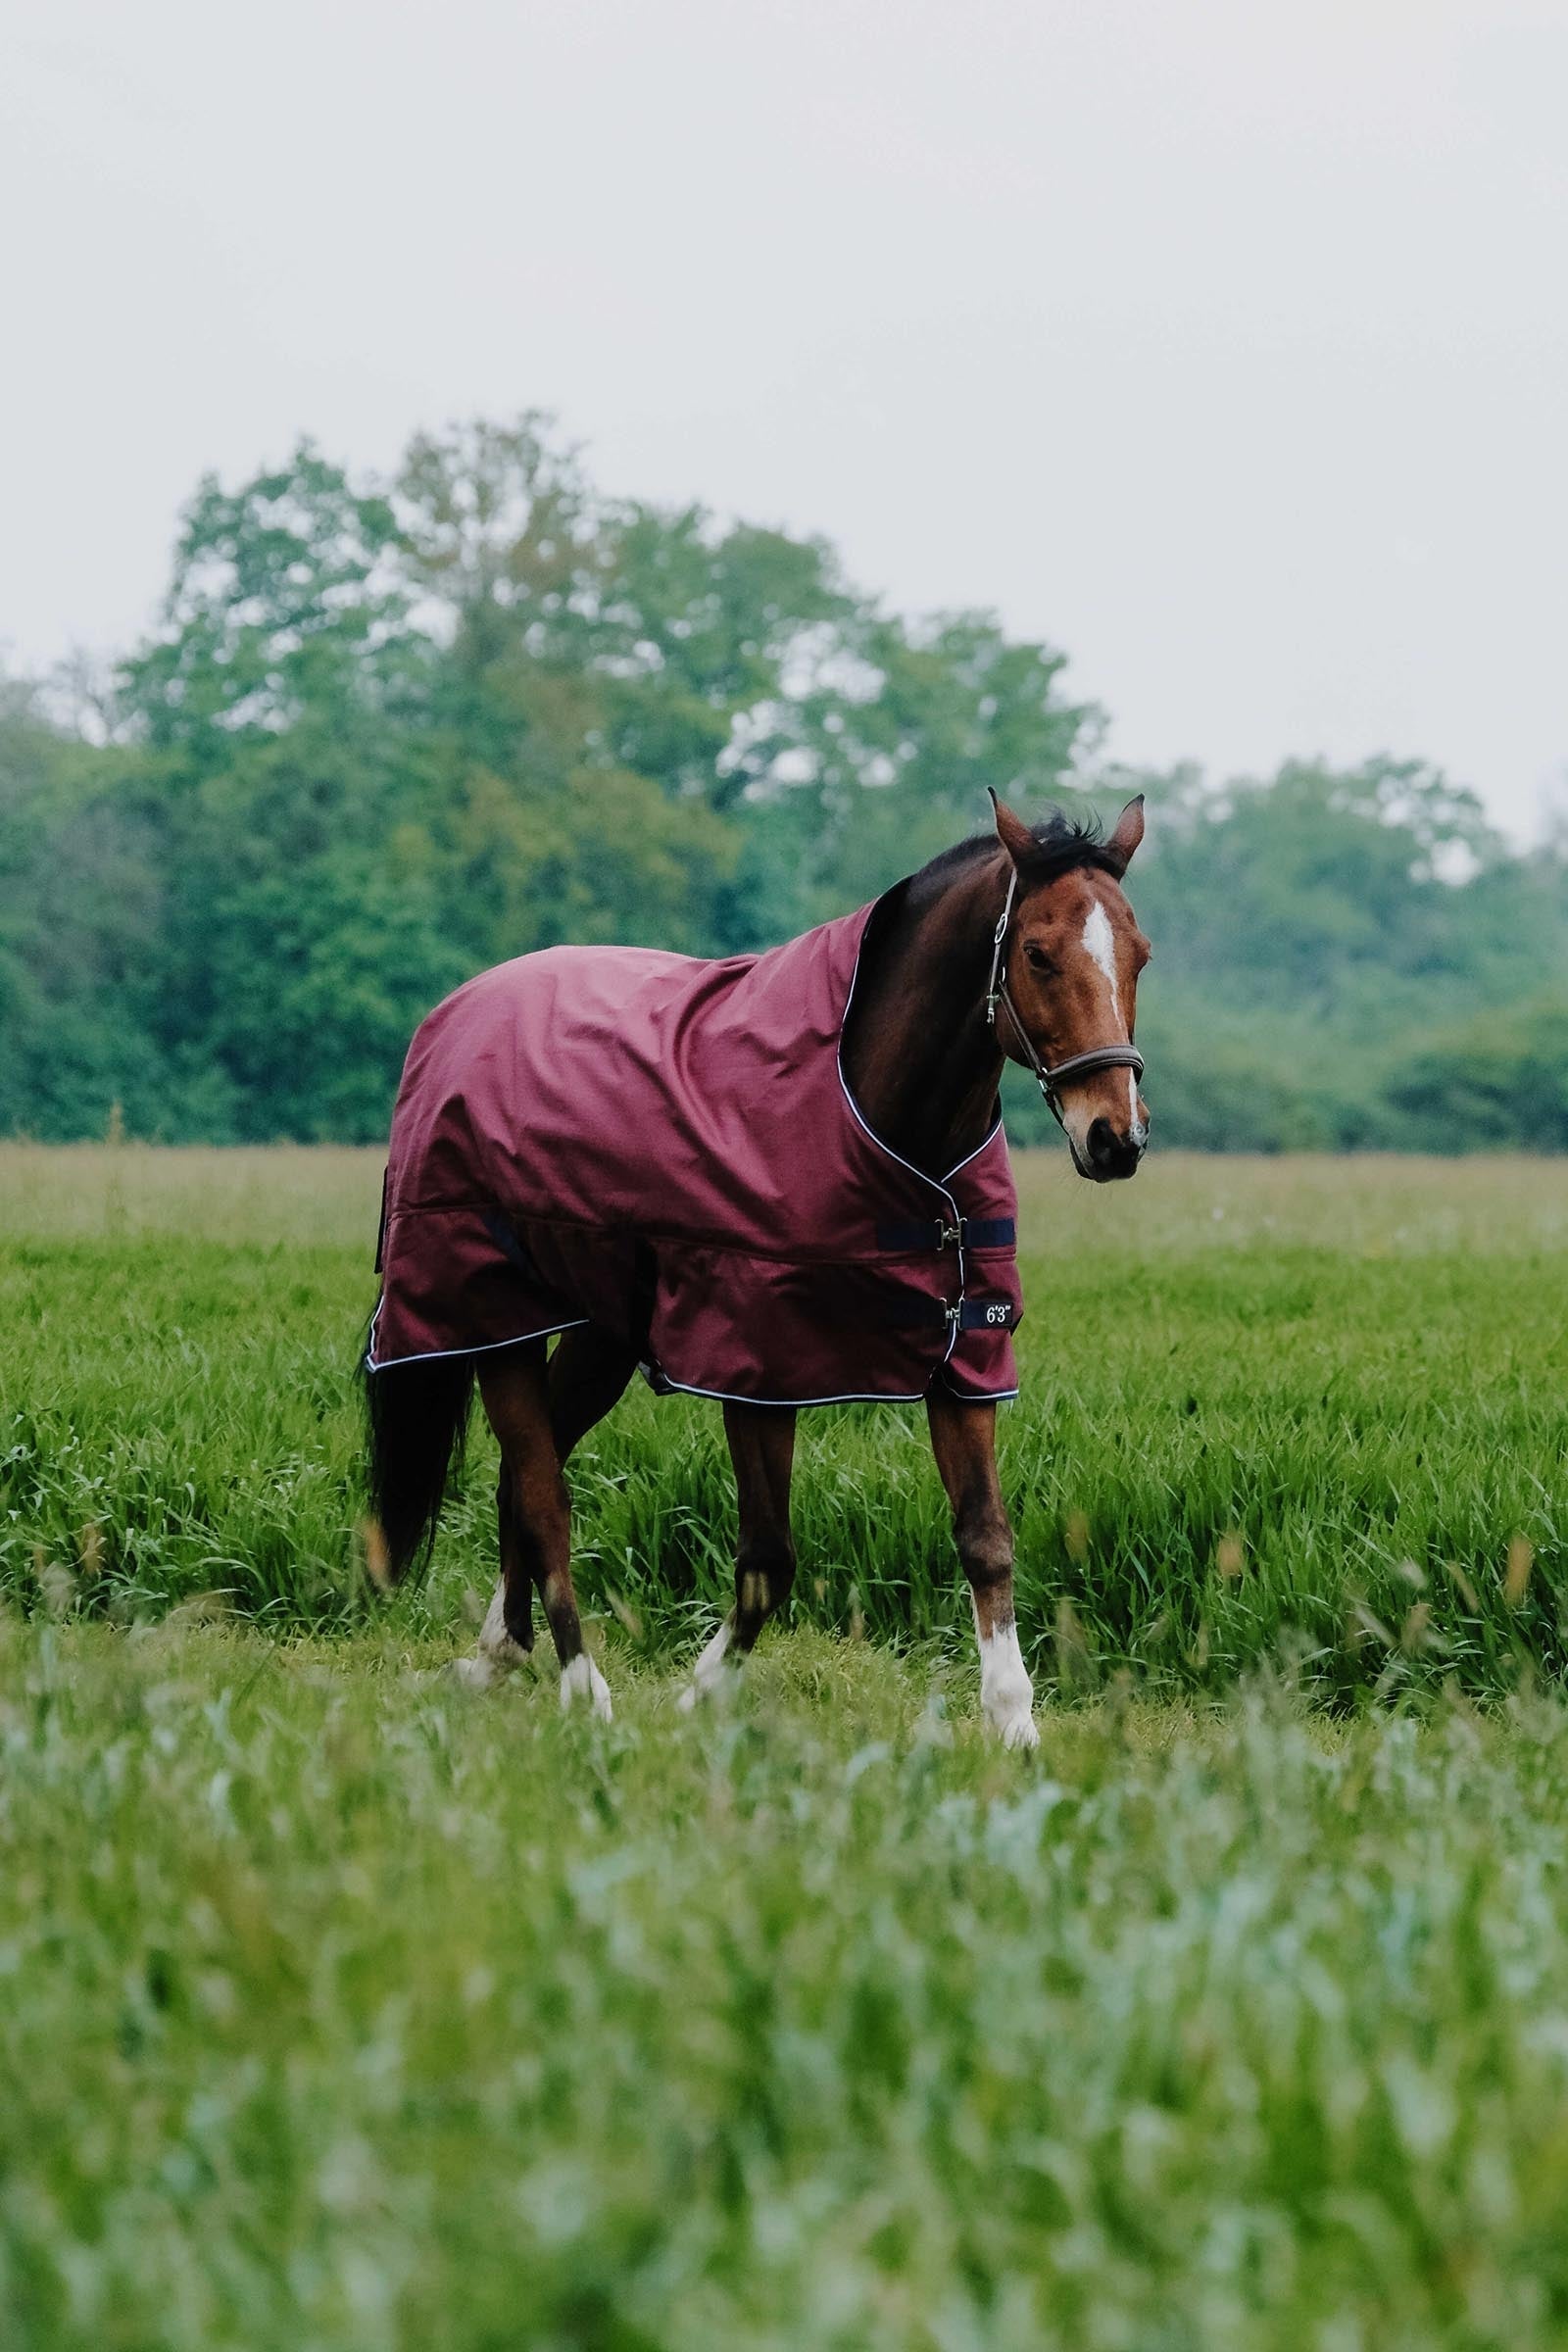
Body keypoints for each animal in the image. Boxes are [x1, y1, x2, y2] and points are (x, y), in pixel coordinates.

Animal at [362, 791, 1150, 1747]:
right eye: (1035, 952)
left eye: (1140, 953)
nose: (1115, 1138)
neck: (879, 1118)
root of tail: (456, 1011)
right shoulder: (758, 1361)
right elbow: (770, 1559)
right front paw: (698, 1696)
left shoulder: (963, 1355)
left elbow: (986, 1536)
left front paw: (1015, 1723)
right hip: (494, 1320)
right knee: (543, 1491)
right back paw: (583, 1689)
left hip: (601, 1335)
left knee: (524, 1477)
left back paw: (494, 1658)